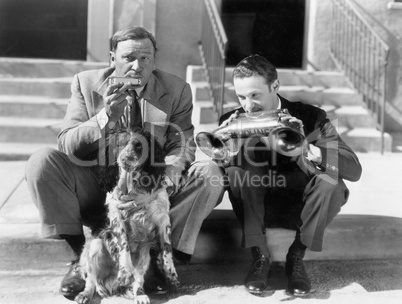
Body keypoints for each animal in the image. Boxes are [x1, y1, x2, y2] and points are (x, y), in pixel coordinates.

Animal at [75, 130, 181, 304]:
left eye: (139, 146)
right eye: (119, 144)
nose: (125, 160)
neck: (136, 190)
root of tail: (112, 284)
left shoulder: (162, 219)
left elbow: (167, 250)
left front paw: (171, 274)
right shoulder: (118, 218)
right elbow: (124, 247)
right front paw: (124, 272)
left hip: (144, 254)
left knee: (137, 281)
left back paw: (141, 295)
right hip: (95, 245)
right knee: (91, 280)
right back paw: (85, 294)